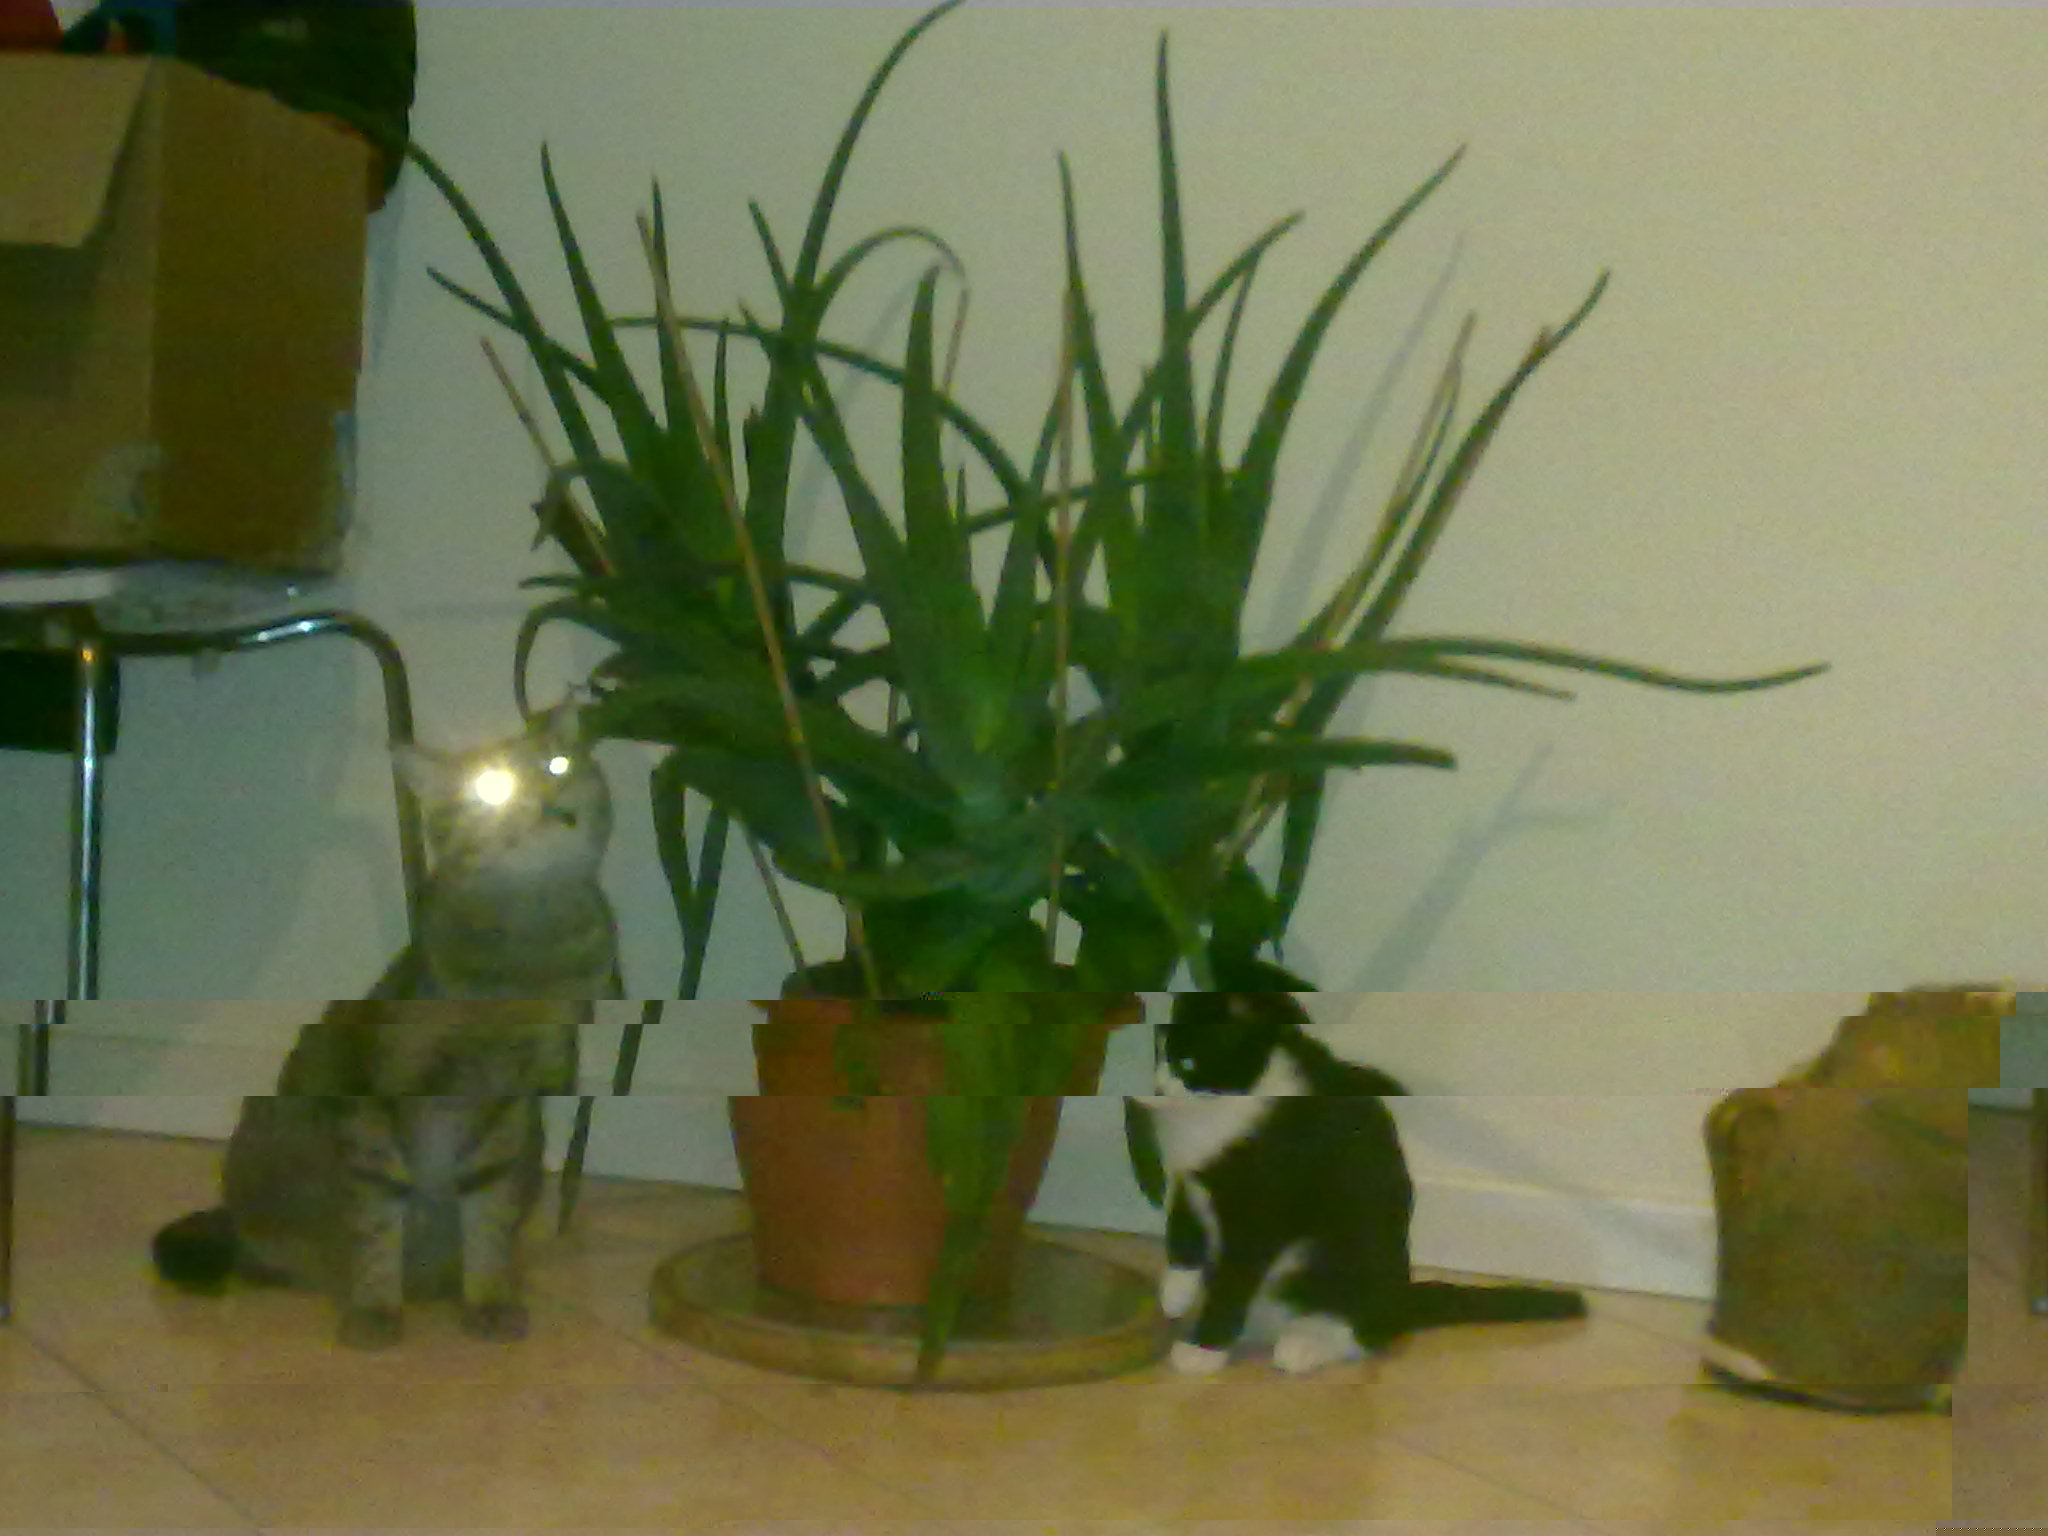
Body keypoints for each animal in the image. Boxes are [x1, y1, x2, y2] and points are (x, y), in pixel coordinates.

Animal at [151, 699, 620, 1348]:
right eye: (493, 788)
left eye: (558, 765)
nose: (554, 804)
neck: (530, 955)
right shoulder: (376, 1099)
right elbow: (375, 1221)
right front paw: (374, 1309)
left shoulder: (513, 1101)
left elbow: (489, 1217)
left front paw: (488, 1299)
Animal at [1140, 978, 1588, 1376]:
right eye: (1158, 1053)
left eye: (1187, 1060)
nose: (1158, 1088)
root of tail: (1402, 1297)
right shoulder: (1192, 1178)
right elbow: (1183, 1225)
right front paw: (1175, 1292)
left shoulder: (1264, 1209)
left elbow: (1234, 1278)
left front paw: (1202, 1349)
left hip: (1346, 1257)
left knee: (1363, 1332)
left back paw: (1304, 1346)